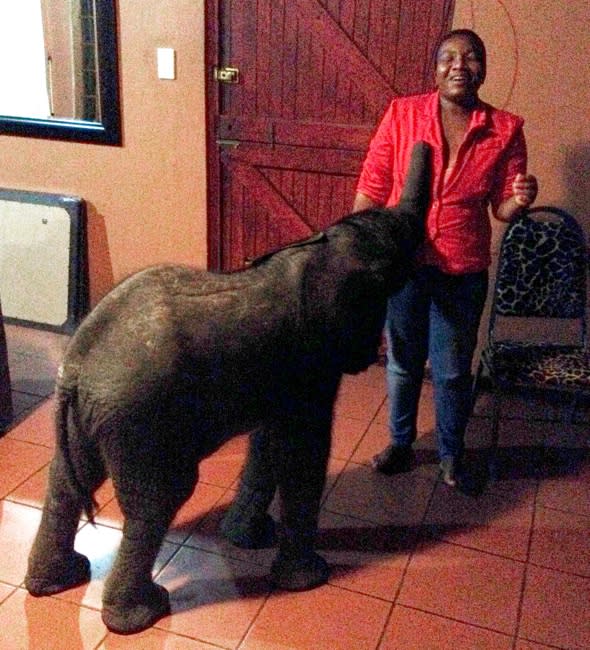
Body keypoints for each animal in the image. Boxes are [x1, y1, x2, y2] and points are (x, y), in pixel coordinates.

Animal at [25, 142, 432, 632]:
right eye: (392, 272)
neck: (318, 250)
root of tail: (78, 367)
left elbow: (269, 445)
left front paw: (246, 539)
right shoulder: (311, 363)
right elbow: (303, 453)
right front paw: (310, 579)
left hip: (89, 419)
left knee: (68, 482)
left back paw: (59, 580)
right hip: (141, 422)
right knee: (158, 500)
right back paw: (145, 613)